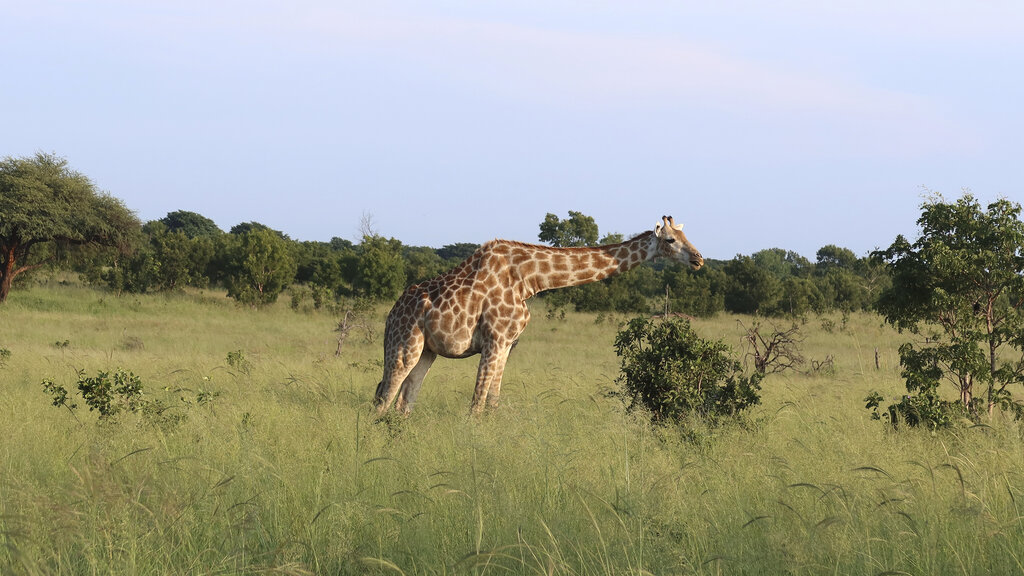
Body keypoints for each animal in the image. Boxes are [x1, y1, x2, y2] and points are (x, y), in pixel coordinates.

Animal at [374, 215, 704, 415]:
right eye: (671, 240)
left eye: (686, 235)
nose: (699, 259)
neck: (529, 279)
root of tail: (392, 314)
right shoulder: (494, 340)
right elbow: (477, 403)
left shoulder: (508, 344)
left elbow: (492, 402)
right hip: (404, 345)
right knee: (384, 394)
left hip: (427, 351)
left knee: (404, 400)